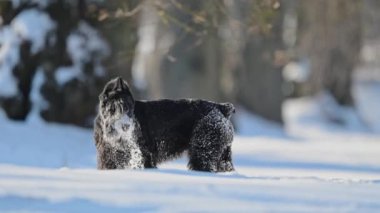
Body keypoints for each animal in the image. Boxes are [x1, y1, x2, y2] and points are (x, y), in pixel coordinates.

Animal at [93, 77, 235, 172]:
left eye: (128, 107)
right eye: (112, 109)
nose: (126, 126)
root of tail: (221, 108)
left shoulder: (143, 155)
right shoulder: (109, 157)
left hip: (203, 149)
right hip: (223, 154)